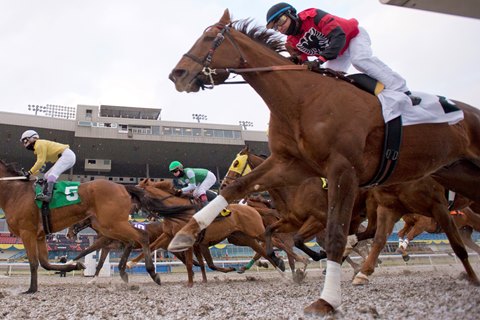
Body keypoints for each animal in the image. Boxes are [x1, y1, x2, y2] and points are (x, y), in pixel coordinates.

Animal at [167, 10, 480, 316]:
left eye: (210, 38)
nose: (176, 75)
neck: (302, 98)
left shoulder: (342, 170)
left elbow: (333, 235)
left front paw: (326, 299)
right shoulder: (289, 163)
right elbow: (239, 192)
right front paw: (184, 234)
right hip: (454, 173)